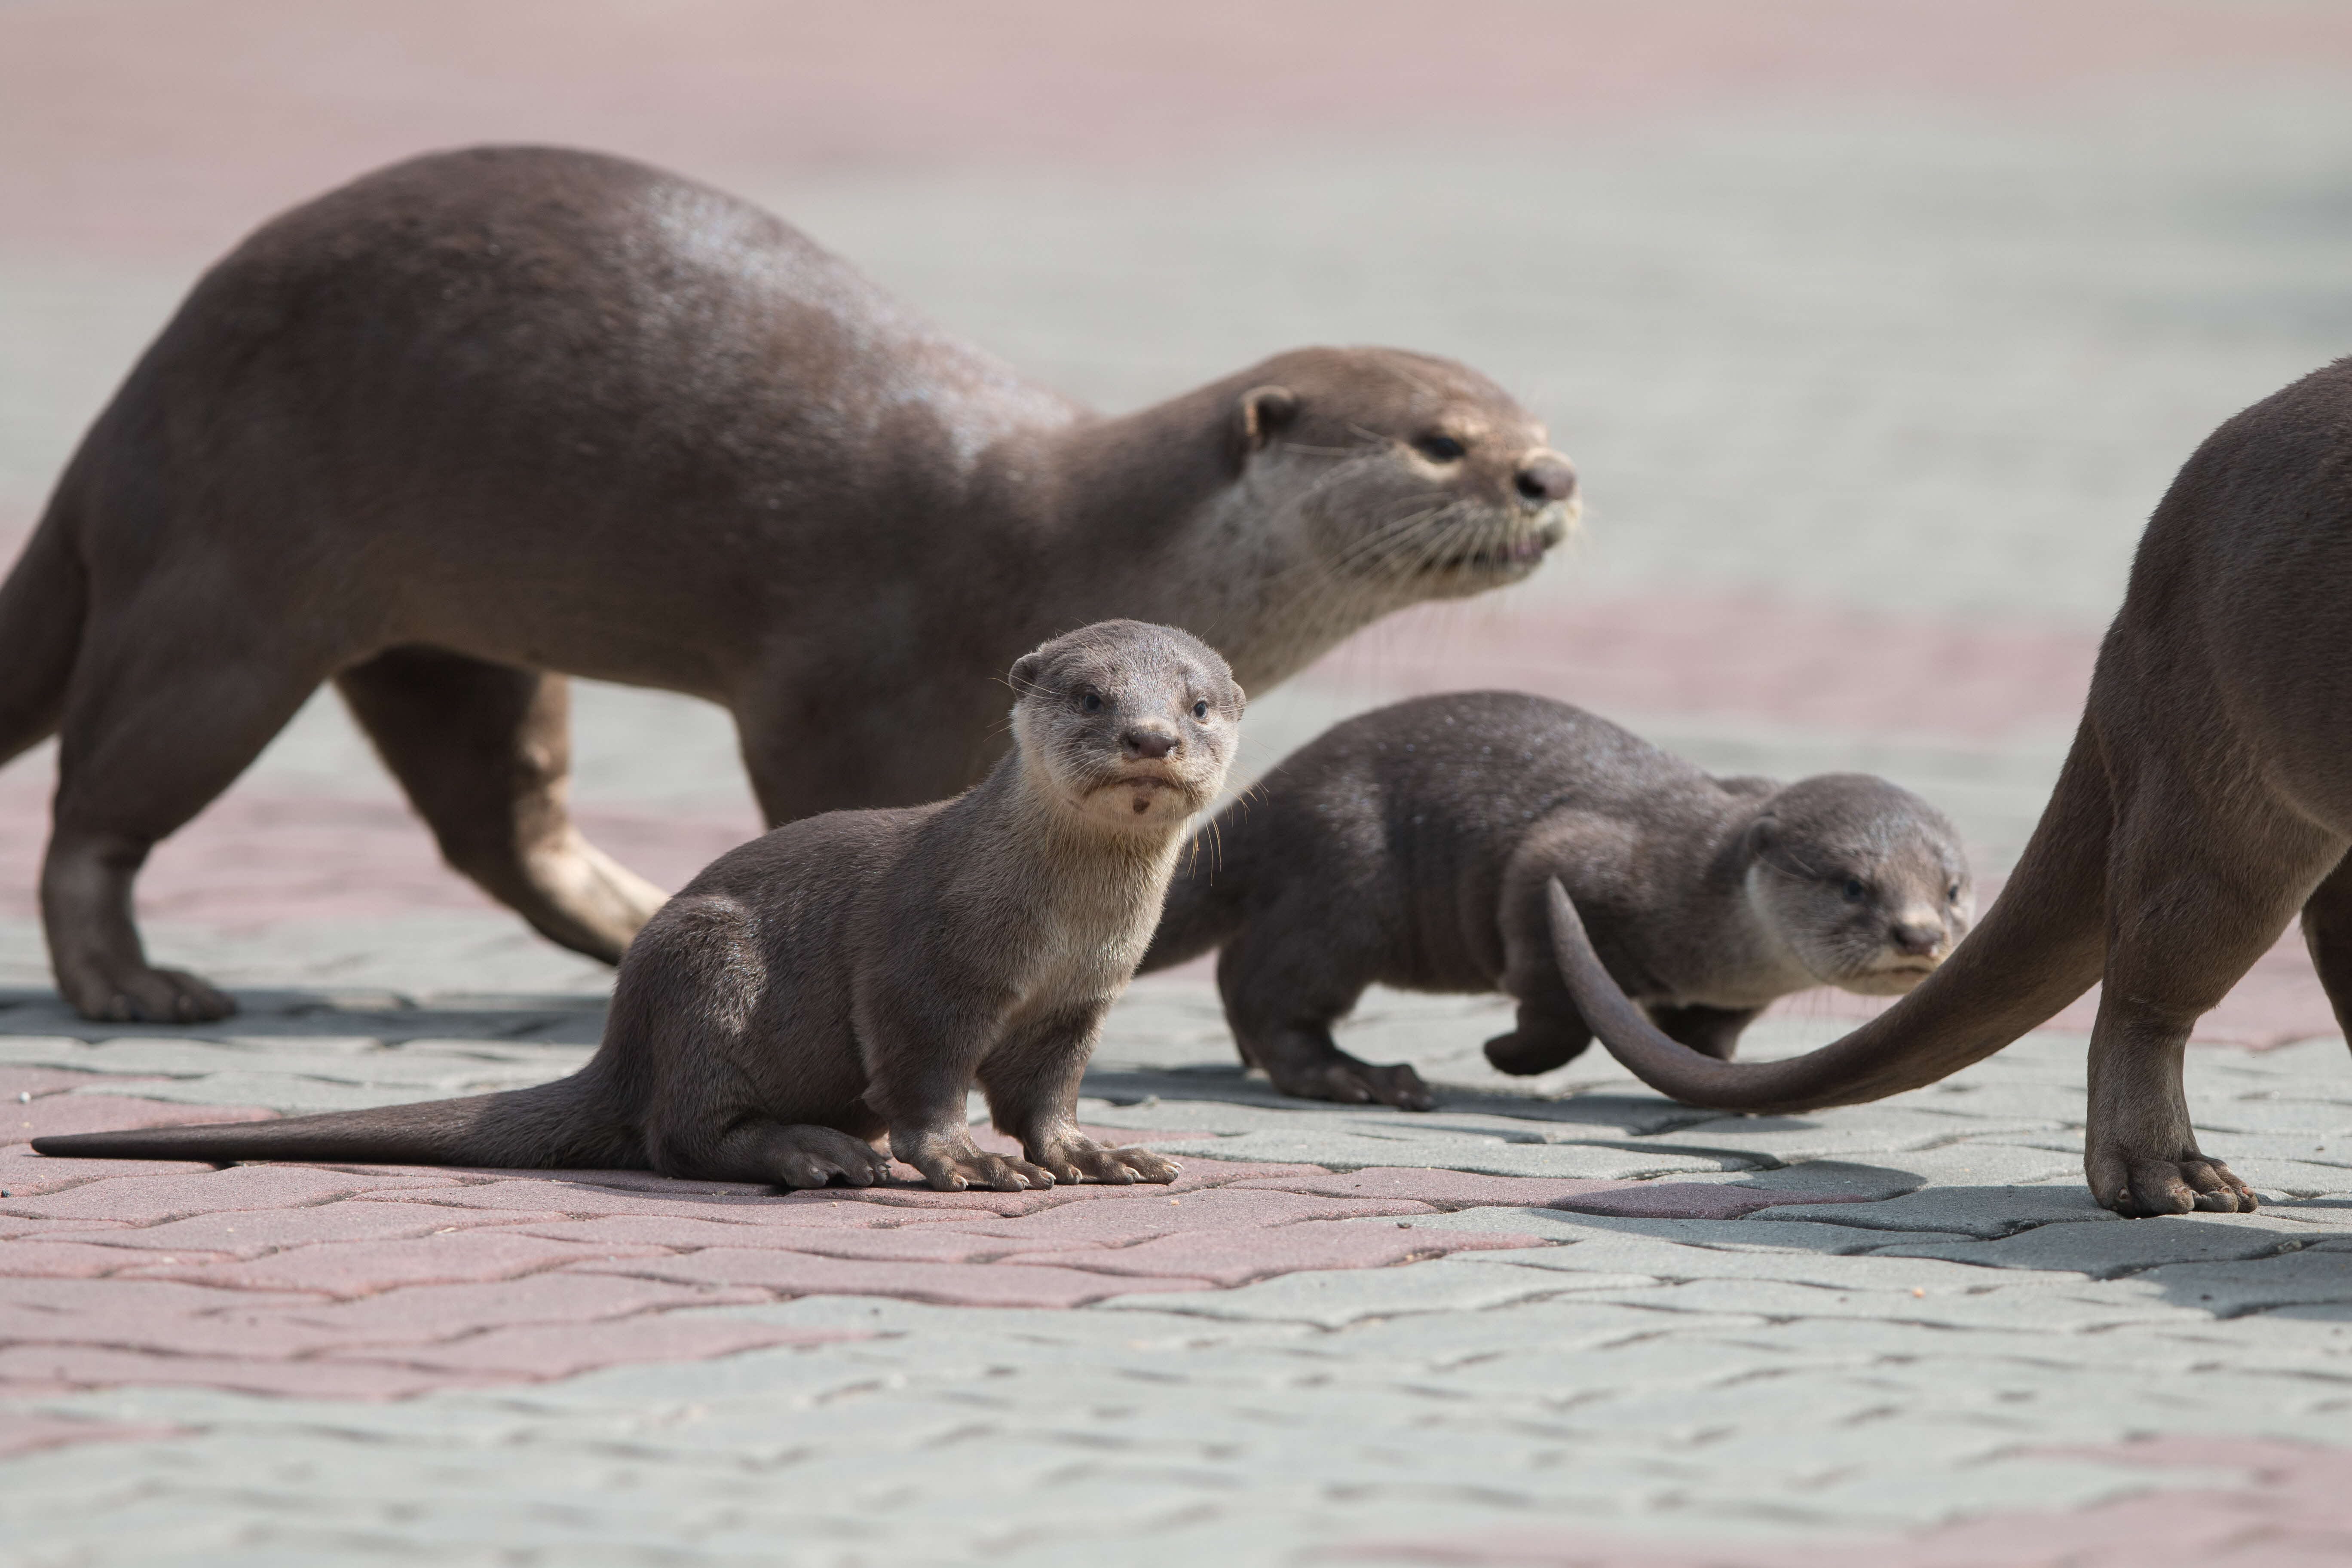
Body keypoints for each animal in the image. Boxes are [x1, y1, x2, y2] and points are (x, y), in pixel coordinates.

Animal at [0, 145, 1578, 1025]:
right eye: (1442, 442)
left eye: (1526, 416)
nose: (1551, 475)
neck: (1064, 545)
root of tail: (145, 383)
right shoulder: (839, 688)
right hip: (229, 591)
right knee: (104, 796)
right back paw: (132, 985)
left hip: (449, 643)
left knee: (500, 816)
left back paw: (631, 917)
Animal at [34, 622, 1238, 1192]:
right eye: (1088, 694)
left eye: (1198, 703)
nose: (1149, 739)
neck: (1059, 924)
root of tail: (621, 1037)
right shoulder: (922, 973)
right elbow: (930, 1084)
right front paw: (964, 1162)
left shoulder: (1079, 1000)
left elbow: (1043, 1095)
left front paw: (1090, 1155)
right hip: (707, 965)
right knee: (676, 1133)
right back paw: (808, 1157)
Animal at [1140, 692, 1972, 1110]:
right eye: (1853, 884)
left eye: (1954, 888)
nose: (1919, 934)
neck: (1696, 891)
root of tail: (1266, 800)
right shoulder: (1568, 863)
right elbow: (1558, 1004)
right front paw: (1507, 1057)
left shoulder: (1728, 992)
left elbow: (1712, 1030)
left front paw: (1703, 1066)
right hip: (1345, 877)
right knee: (1270, 988)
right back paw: (1361, 1078)